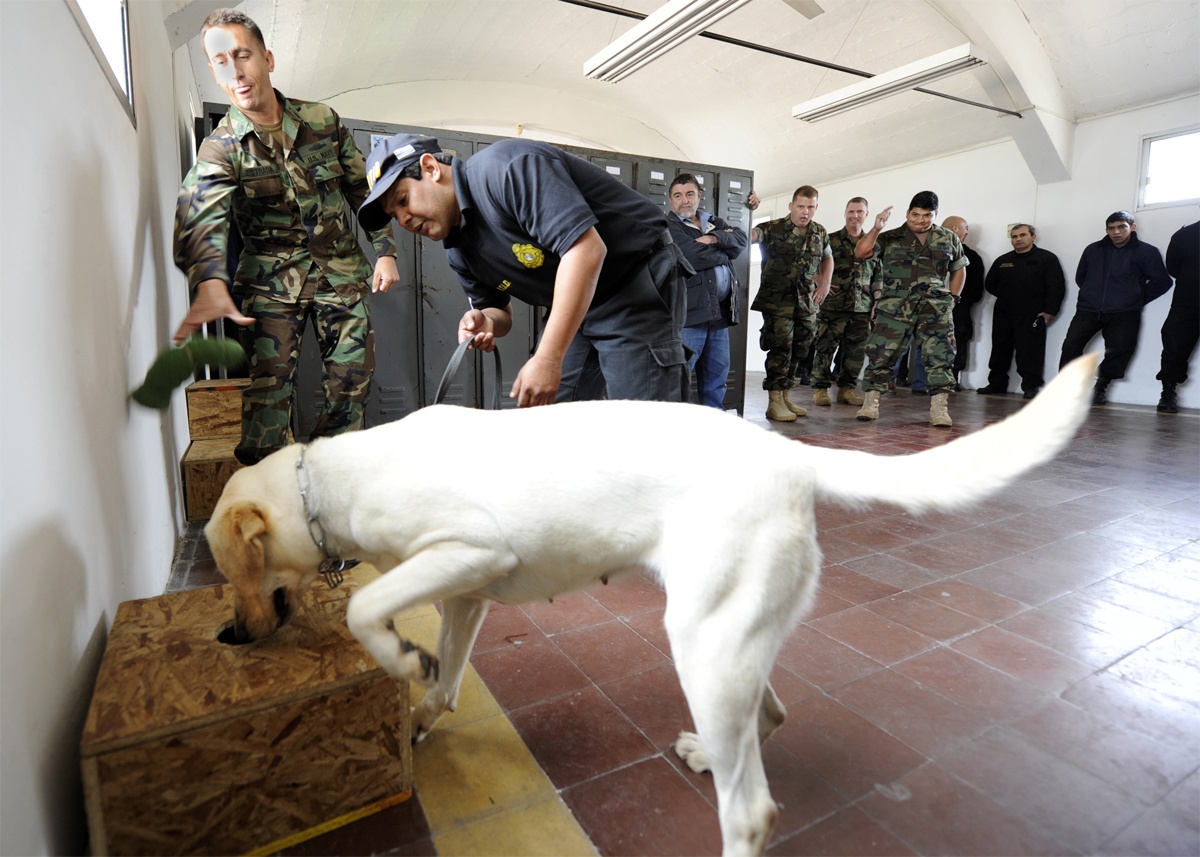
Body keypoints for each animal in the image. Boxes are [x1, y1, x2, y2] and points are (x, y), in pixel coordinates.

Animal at [206, 350, 1099, 849]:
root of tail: (791, 458)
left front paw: (395, 653)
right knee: (768, 718)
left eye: (222, 563)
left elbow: (368, 610)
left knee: (752, 812)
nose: (231, 637)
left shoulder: (471, 548)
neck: (330, 480)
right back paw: (707, 752)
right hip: (726, 635)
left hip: (701, 641)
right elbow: (449, 673)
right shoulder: (466, 591)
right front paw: (421, 701)